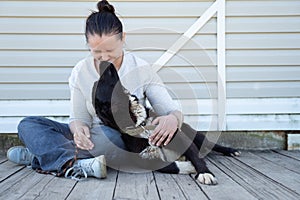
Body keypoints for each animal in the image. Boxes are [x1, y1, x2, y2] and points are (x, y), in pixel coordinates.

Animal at [92, 61, 240, 184]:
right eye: (101, 81)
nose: (105, 61)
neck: (141, 124)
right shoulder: (144, 159)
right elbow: (170, 166)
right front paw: (189, 167)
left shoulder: (177, 136)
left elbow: (194, 155)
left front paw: (205, 172)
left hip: (195, 135)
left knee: (211, 144)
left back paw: (231, 151)